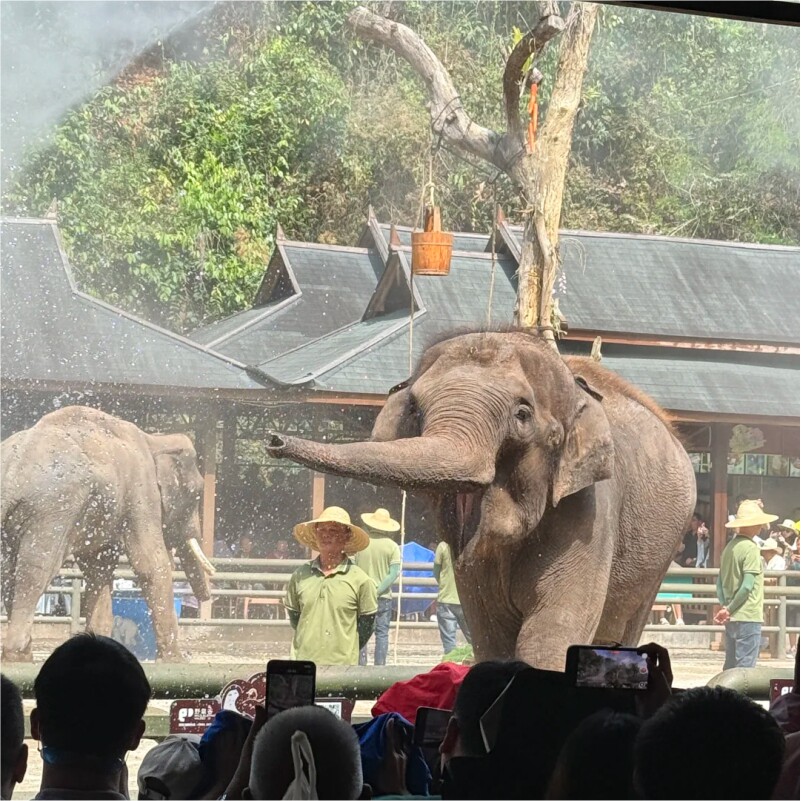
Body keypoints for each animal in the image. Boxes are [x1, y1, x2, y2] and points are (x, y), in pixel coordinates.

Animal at [1, 406, 215, 661]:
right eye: (197, 494)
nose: (206, 598)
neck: (154, 439)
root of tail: (11, 475)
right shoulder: (141, 491)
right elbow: (150, 562)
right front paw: (174, 660)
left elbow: (98, 567)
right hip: (52, 509)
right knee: (36, 569)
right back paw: (17, 654)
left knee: (7, 570)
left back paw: (22, 654)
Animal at [266, 331, 696, 670]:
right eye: (415, 408)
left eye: (522, 414)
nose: (274, 440)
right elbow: (491, 636)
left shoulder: (589, 509)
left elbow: (553, 631)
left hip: (660, 553)